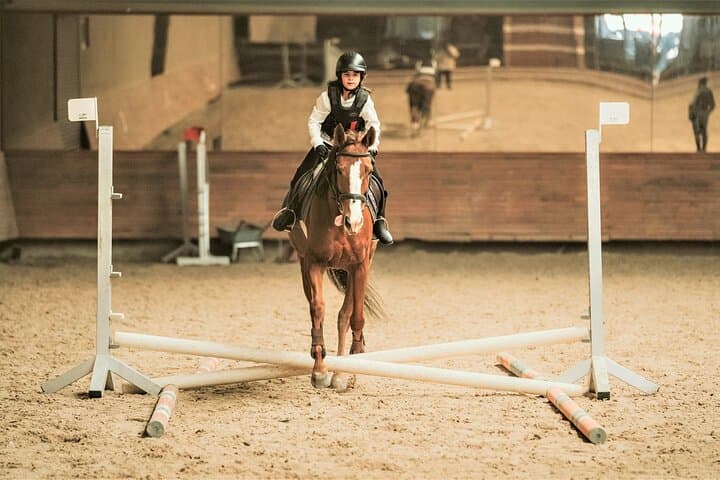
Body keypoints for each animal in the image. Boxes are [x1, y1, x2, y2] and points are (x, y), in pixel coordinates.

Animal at [288, 123, 384, 391]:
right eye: (339, 169)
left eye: (368, 169)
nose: (354, 222)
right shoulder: (314, 263)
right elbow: (318, 309)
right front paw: (320, 369)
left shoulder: (360, 265)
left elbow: (355, 316)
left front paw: (352, 365)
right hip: (304, 263)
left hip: (355, 268)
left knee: (345, 315)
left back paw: (342, 373)